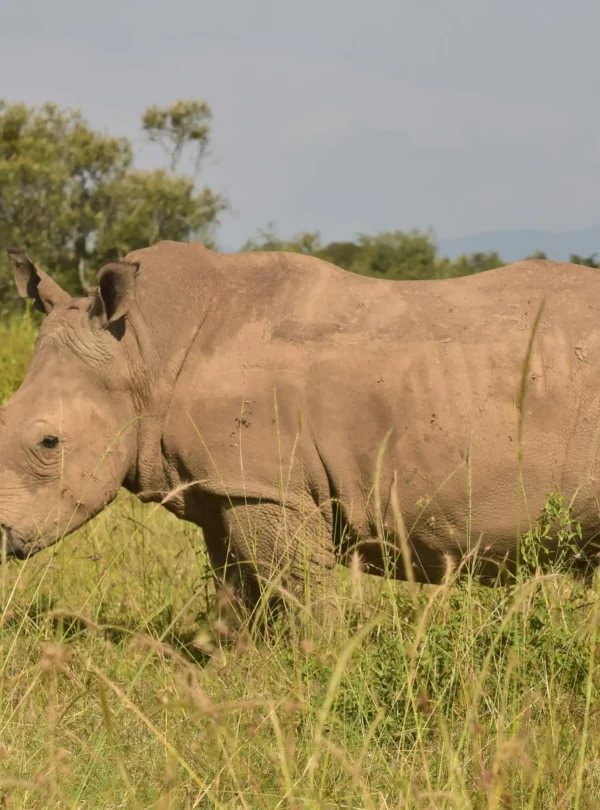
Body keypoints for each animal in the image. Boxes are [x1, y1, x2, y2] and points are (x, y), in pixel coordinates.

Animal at [1, 241, 599, 614]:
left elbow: (296, 592)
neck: (145, 349)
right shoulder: (226, 486)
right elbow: (238, 595)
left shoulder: (270, 487)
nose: (1, 533)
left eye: (49, 442)